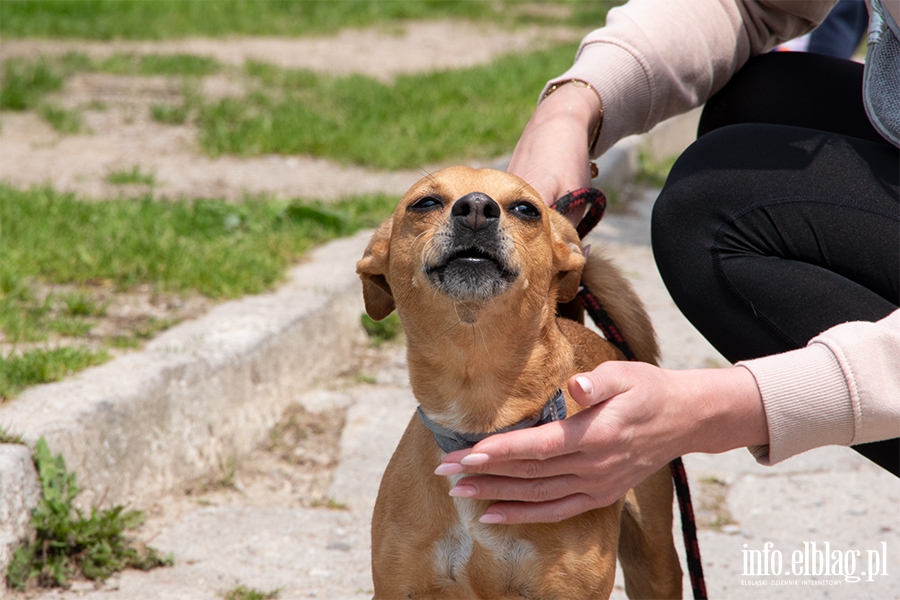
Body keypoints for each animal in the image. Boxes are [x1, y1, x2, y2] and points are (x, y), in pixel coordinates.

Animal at [358, 166, 684, 596]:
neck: (478, 412)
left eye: (526, 209)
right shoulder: (399, 587)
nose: (476, 207)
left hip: (655, 561)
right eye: (425, 202)